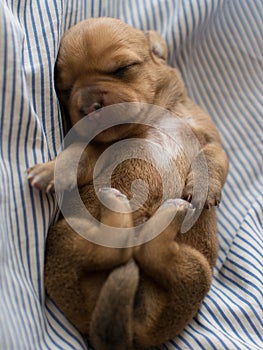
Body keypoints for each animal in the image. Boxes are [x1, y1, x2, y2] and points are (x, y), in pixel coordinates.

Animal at [26, 18, 229, 350]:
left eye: (123, 68)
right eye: (66, 90)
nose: (88, 106)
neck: (151, 118)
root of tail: (130, 334)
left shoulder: (208, 138)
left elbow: (213, 161)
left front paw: (203, 190)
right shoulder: (97, 151)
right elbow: (74, 157)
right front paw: (49, 170)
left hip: (197, 272)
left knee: (150, 256)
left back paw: (163, 214)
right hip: (64, 238)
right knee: (120, 251)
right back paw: (131, 208)